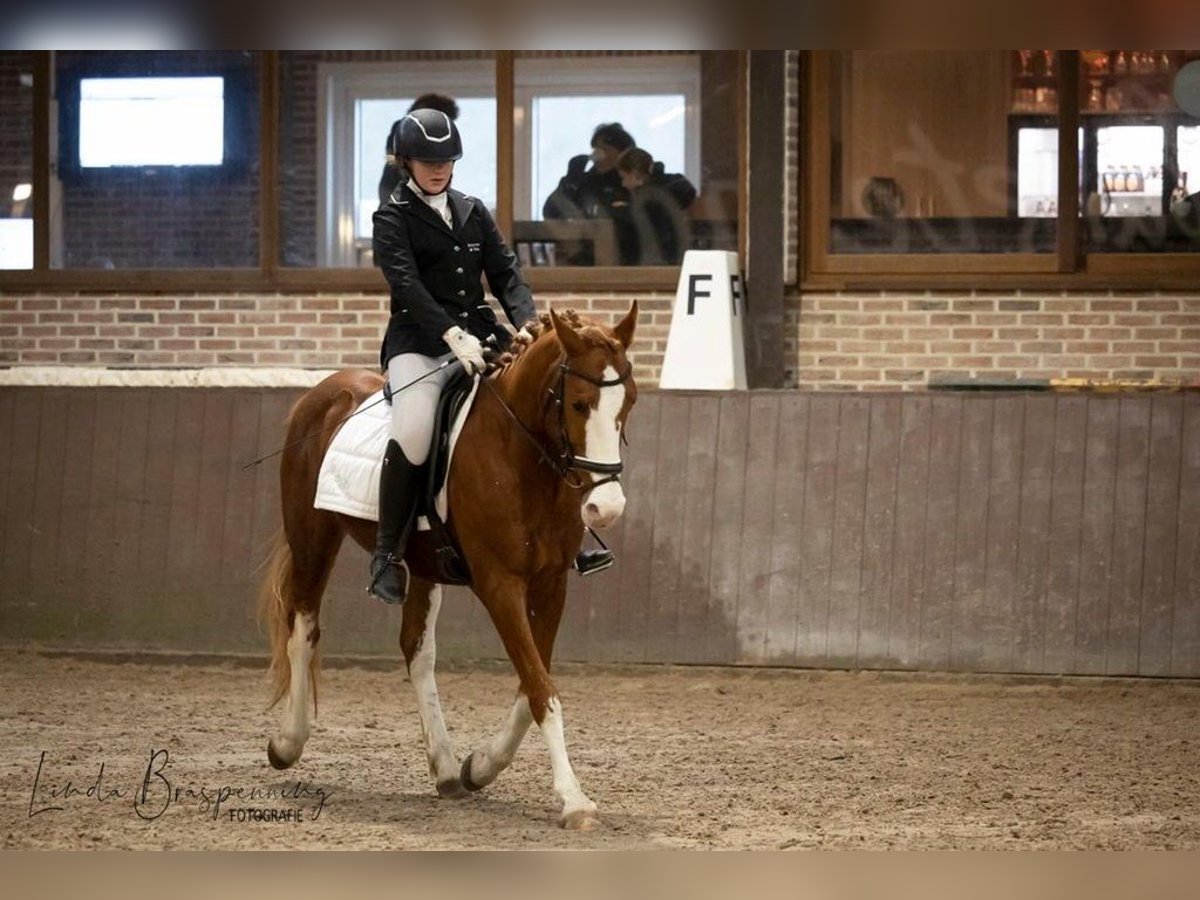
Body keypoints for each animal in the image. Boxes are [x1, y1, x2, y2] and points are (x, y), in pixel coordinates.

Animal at [260, 304, 638, 830]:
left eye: (629, 405)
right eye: (580, 405)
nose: (607, 508)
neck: (520, 456)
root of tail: (324, 391)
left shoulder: (550, 585)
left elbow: (532, 685)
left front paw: (479, 767)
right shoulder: (499, 585)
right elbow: (540, 687)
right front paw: (574, 800)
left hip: (420, 564)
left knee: (416, 650)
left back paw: (445, 769)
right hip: (312, 535)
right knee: (303, 627)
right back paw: (286, 744)